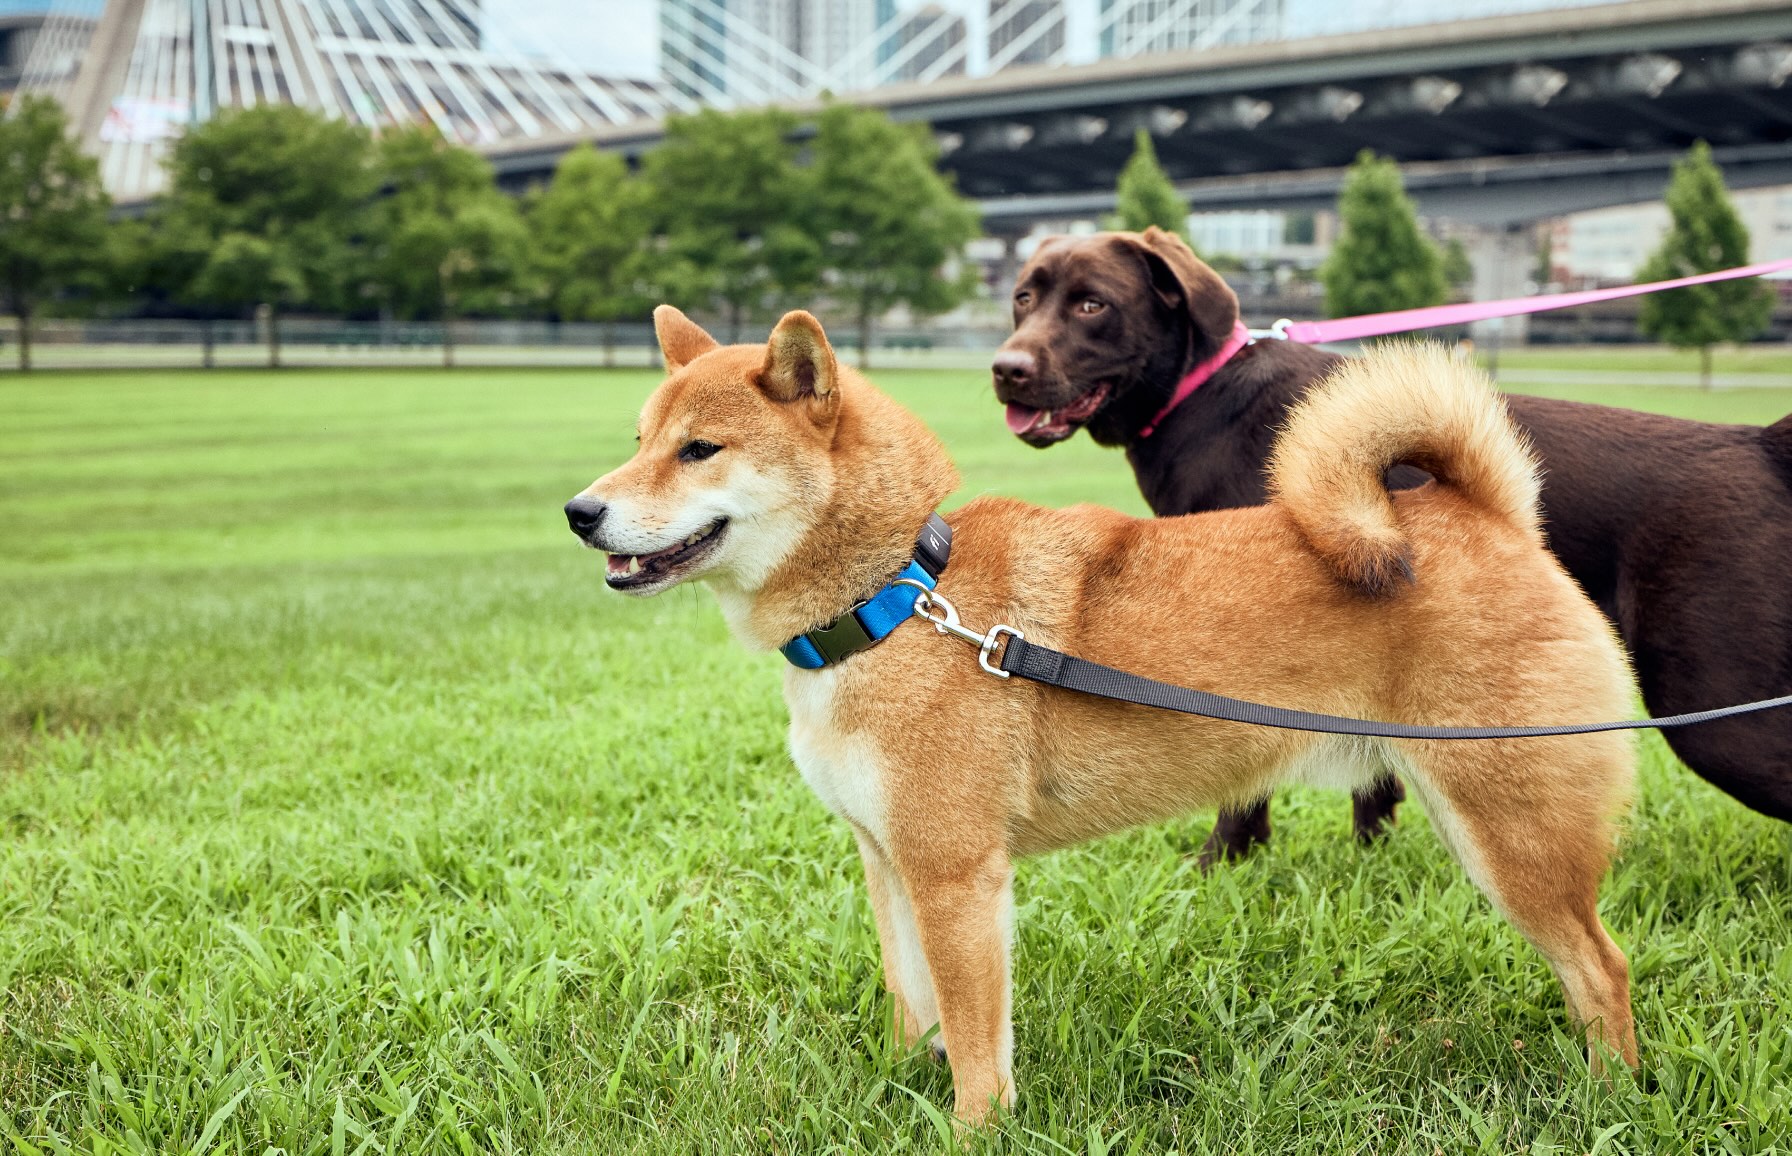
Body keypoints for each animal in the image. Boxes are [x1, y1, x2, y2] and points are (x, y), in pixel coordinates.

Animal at [562, 304, 1641, 1118]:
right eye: (641, 442)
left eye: (699, 449)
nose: (579, 511)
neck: (896, 597)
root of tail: (1485, 516)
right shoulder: (889, 859)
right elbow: (915, 1007)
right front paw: (899, 1085)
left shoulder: (957, 874)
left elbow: (976, 1043)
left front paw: (972, 1128)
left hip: (1513, 835)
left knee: (1603, 968)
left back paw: (1613, 1098)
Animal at [996, 225, 1792, 860]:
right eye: (1023, 298)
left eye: (1093, 304)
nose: (1006, 369)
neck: (1204, 396)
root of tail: (1763, 446)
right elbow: (1373, 779)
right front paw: (1368, 859)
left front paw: (1223, 863)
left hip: (1717, 710)